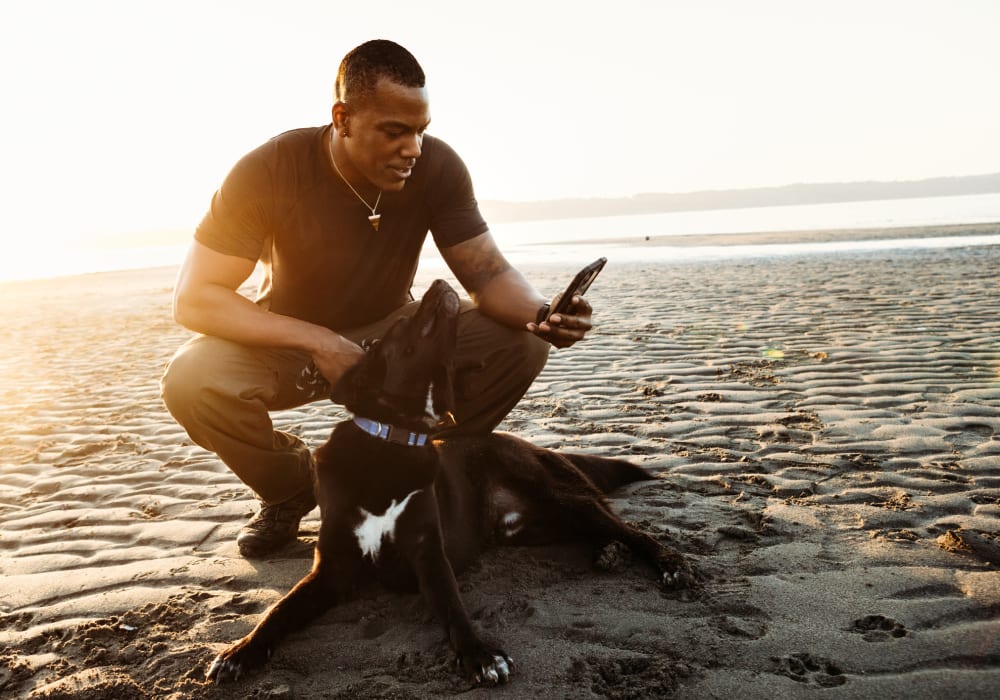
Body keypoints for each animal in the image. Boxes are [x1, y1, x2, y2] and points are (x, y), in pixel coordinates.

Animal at [206, 278, 696, 684]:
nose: (440, 281)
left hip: (558, 493)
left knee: (631, 529)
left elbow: (453, 607)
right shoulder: (333, 568)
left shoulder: (428, 553)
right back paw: (607, 553)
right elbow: (279, 610)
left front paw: (480, 655)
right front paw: (241, 651)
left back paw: (667, 562)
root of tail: (535, 445)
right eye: (400, 325)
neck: (392, 440)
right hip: (533, 527)